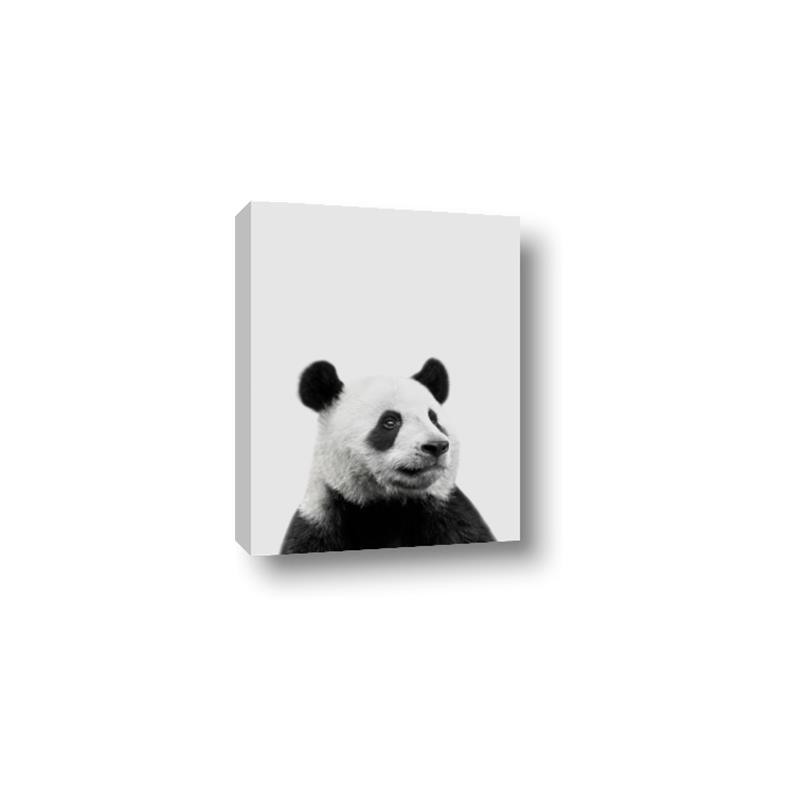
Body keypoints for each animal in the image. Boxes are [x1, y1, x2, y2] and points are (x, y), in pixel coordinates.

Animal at [280, 358, 495, 554]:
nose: (436, 446)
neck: (388, 506)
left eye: (434, 419)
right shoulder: (320, 521)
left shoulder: (449, 516)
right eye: (390, 422)